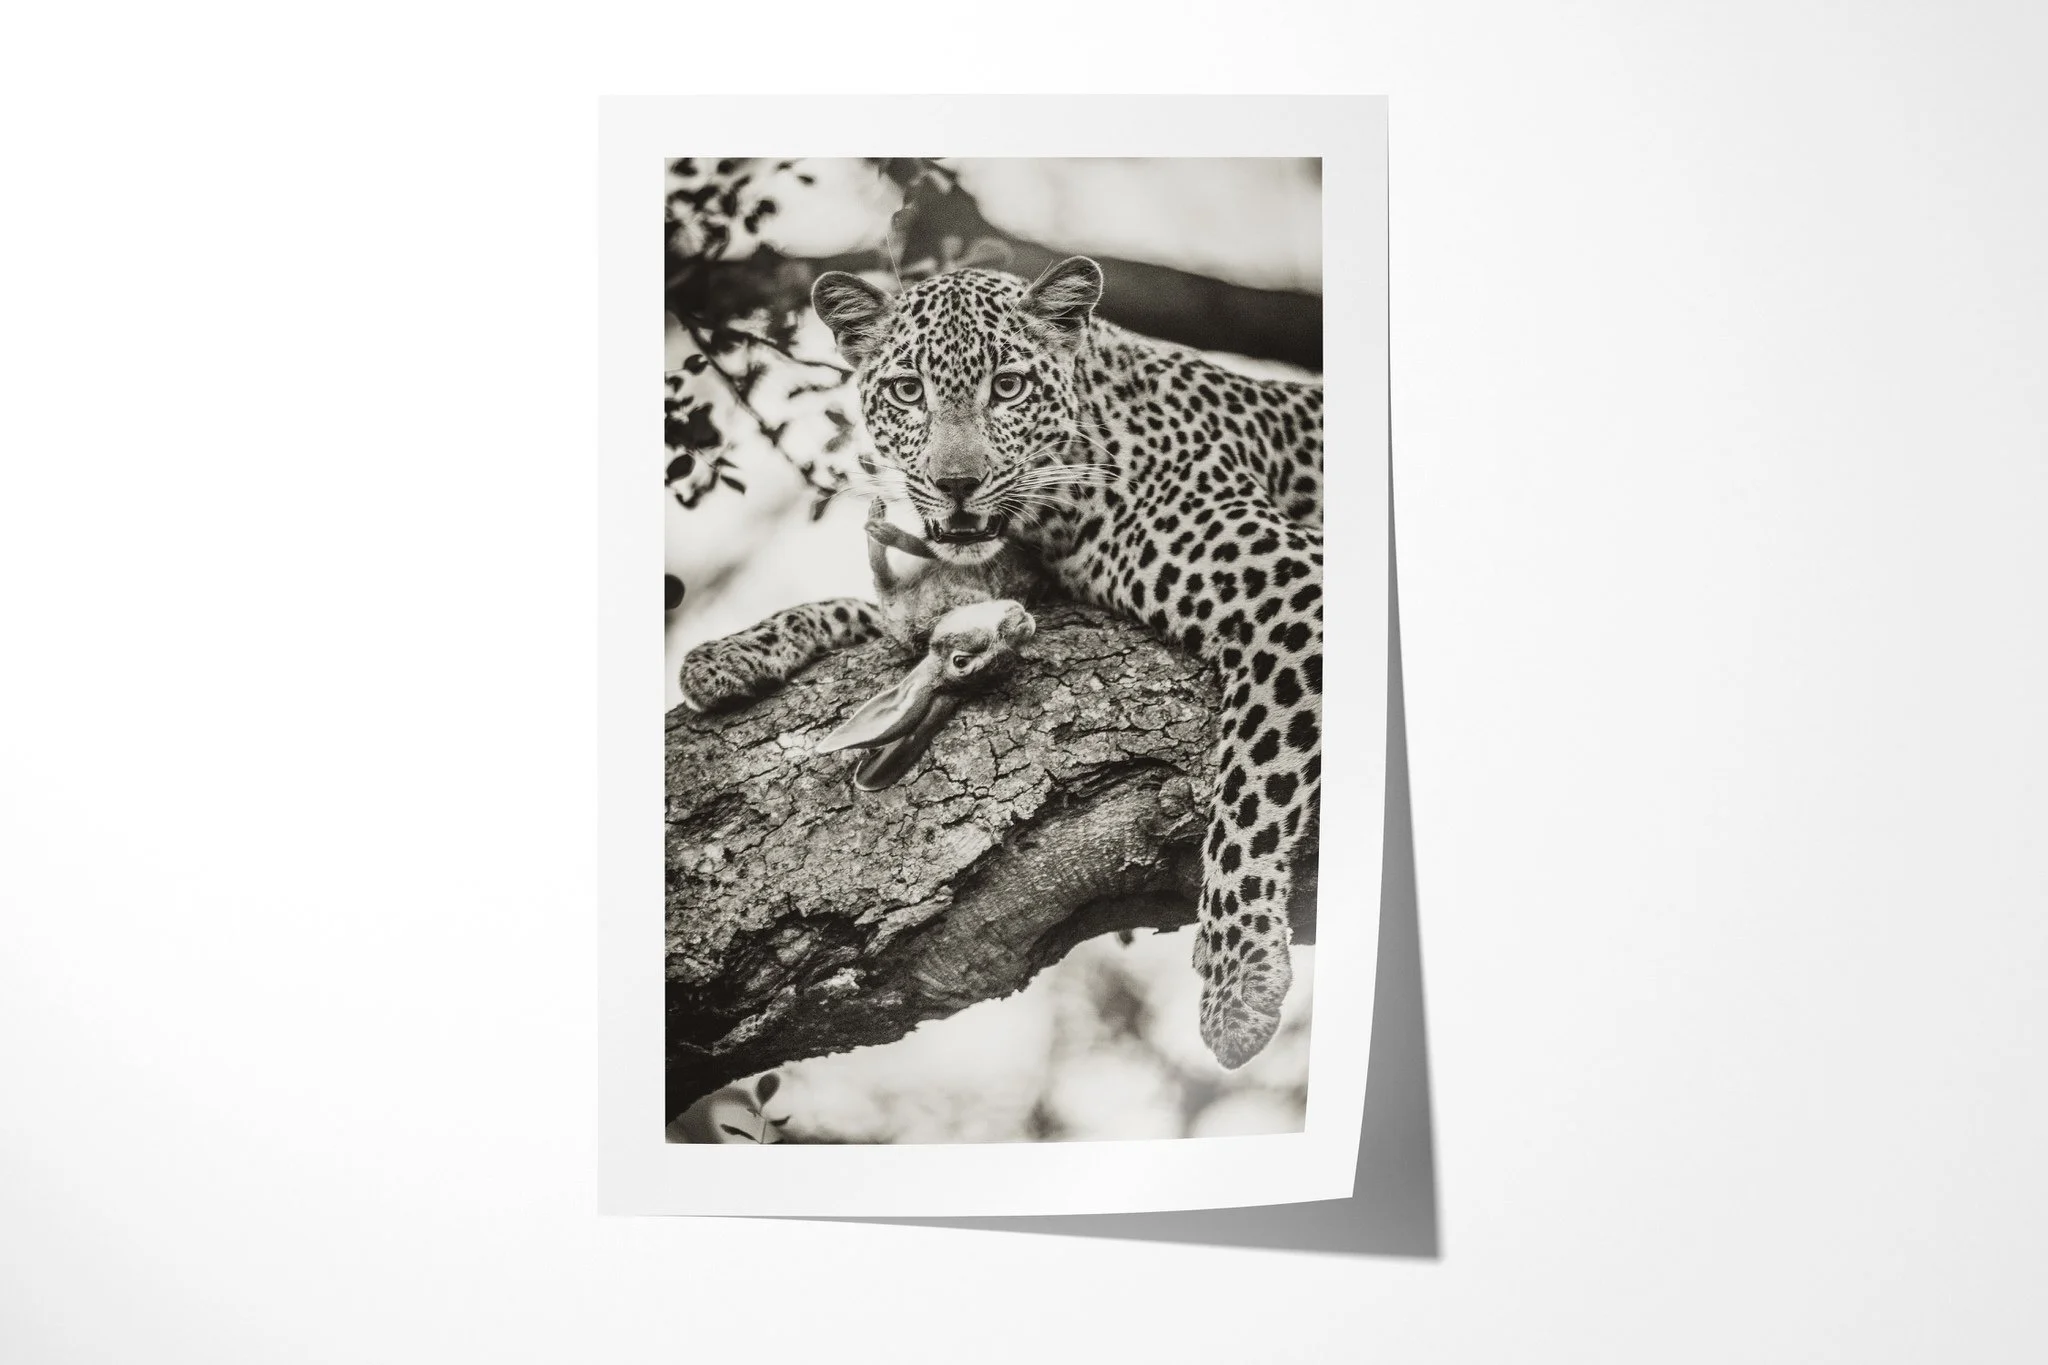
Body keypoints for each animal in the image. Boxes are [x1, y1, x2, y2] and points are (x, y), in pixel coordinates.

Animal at [678, 255, 1323, 1069]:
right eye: (908, 390)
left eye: (1008, 386)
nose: (956, 485)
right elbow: (878, 613)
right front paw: (730, 653)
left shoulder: (1295, 589)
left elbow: (1250, 791)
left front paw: (1238, 983)